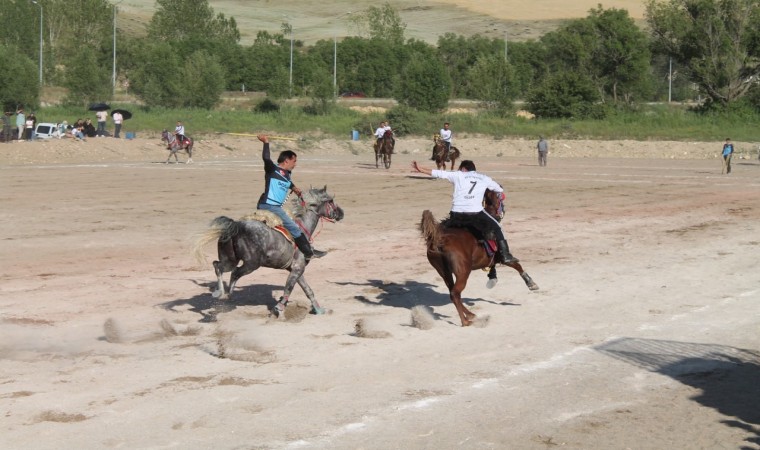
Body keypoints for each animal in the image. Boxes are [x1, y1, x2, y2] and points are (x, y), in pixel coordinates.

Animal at [193, 186, 344, 316]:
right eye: (331, 200)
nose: (341, 213)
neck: (302, 227)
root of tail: (235, 226)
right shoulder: (297, 268)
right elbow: (289, 287)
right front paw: (279, 307)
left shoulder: (296, 269)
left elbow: (307, 290)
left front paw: (319, 309)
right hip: (251, 264)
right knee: (234, 273)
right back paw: (227, 295)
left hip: (230, 260)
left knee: (217, 266)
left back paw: (218, 293)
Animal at [418, 189, 536, 326]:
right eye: (500, 197)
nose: (503, 211)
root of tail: (439, 239)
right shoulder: (502, 257)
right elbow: (516, 265)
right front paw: (531, 283)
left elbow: (494, 267)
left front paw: (492, 277)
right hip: (463, 272)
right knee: (455, 293)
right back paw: (465, 321)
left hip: (444, 272)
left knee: (453, 292)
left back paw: (470, 314)